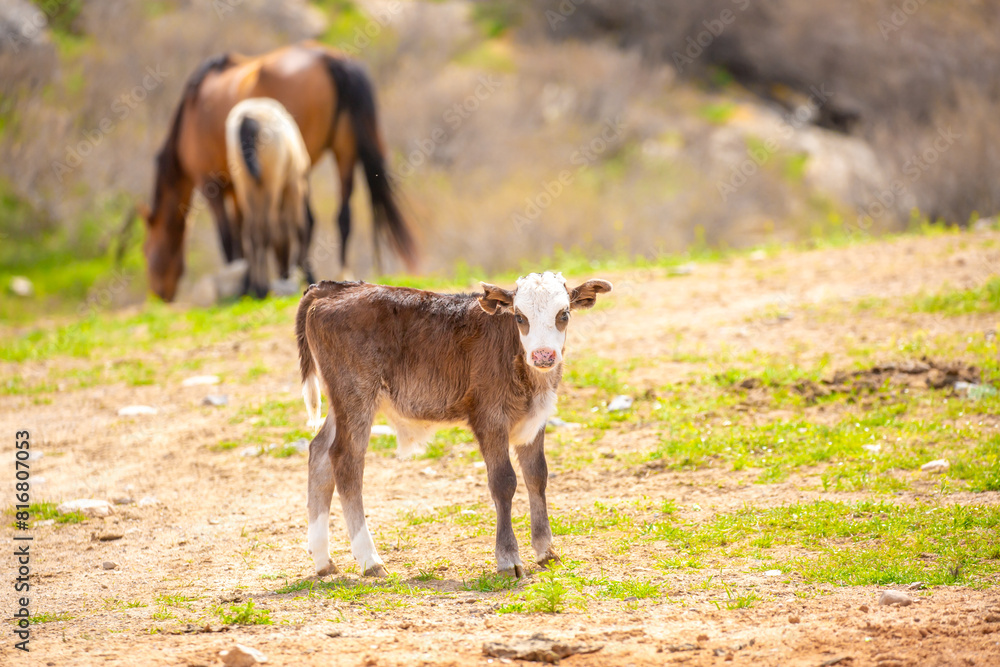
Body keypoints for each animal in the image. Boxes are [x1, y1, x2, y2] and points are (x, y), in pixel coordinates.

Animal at [295, 272, 613, 578]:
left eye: (564, 314)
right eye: (520, 317)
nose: (543, 355)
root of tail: (336, 288)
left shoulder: (534, 421)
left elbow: (537, 476)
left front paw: (546, 551)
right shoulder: (489, 418)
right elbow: (503, 482)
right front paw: (508, 560)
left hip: (341, 402)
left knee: (319, 452)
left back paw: (323, 560)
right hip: (356, 395)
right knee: (346, 461)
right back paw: (370, 560)